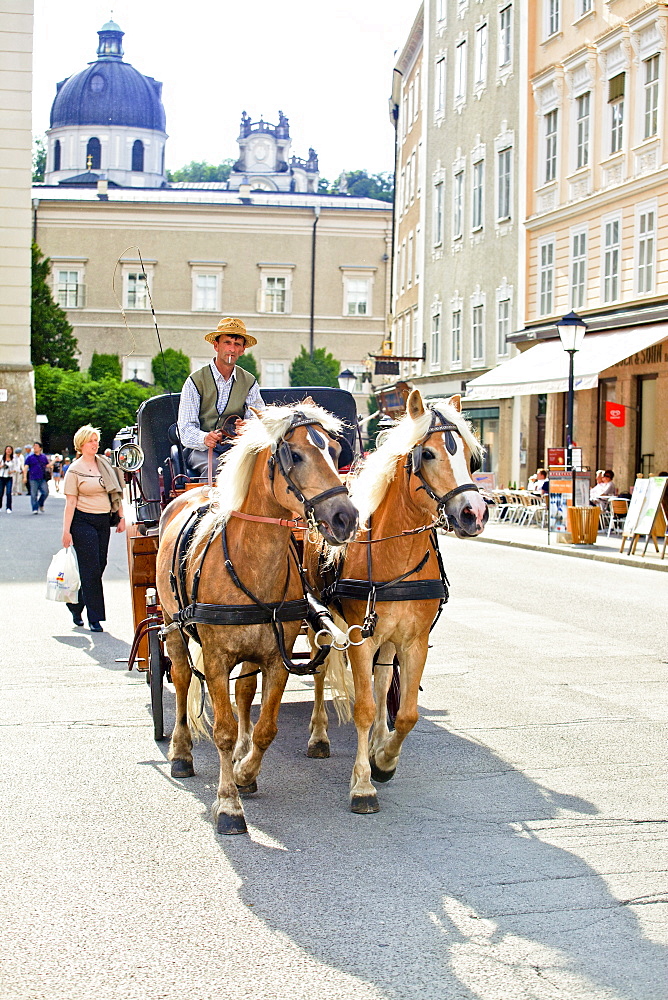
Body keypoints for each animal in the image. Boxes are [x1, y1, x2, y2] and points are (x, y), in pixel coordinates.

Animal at [156, 402, 358, 832]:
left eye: (335, 450)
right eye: (293, 455)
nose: (345, 518)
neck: (249, 562)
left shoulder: (276, 658)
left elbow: (266, 727)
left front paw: (245, 772)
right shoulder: (216, 659)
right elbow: (222, 729)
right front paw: (228, 804)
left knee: (245, 691)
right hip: (172, 622)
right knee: (181, 678)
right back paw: (180, 752)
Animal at [306, 386, 488, 816]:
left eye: (469, 456)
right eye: (428, 454)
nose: (474, 513)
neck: (396, 554)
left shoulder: (414, 640)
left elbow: (404, 712)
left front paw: (384, 759)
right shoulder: (359, 638)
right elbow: (363, 707)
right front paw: (362, 785)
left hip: (387, 637)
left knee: (382, 679)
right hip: (318, 621)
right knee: (321, 672)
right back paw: (319, 735)